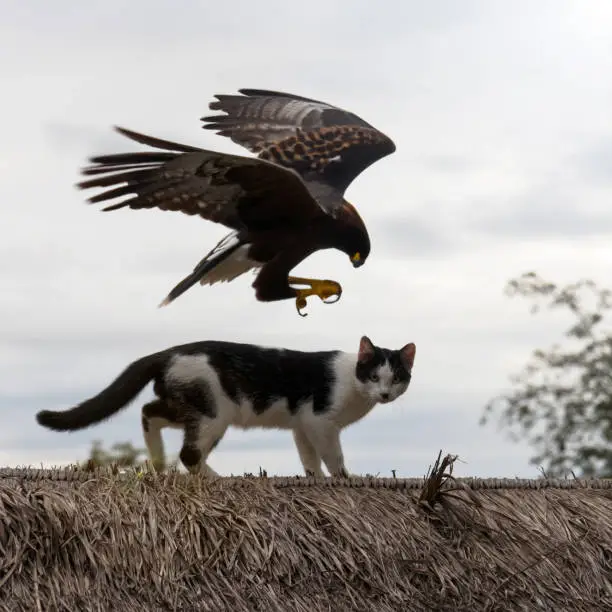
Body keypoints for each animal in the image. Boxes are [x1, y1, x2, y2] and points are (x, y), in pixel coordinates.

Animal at [34, 334, 416, 478]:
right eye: (374, 375)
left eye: (397, 378)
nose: (384, 394)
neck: (354, 385)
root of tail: (168, 352)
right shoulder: (320, 422)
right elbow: (333, 457)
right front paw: (345, 478)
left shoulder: (302, 426)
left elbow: (309, 460)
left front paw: (316, 480)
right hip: (213, 414)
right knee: (188, 454)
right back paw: (215, 478)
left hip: (190, 408)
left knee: (148, 413)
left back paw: (158, 461)